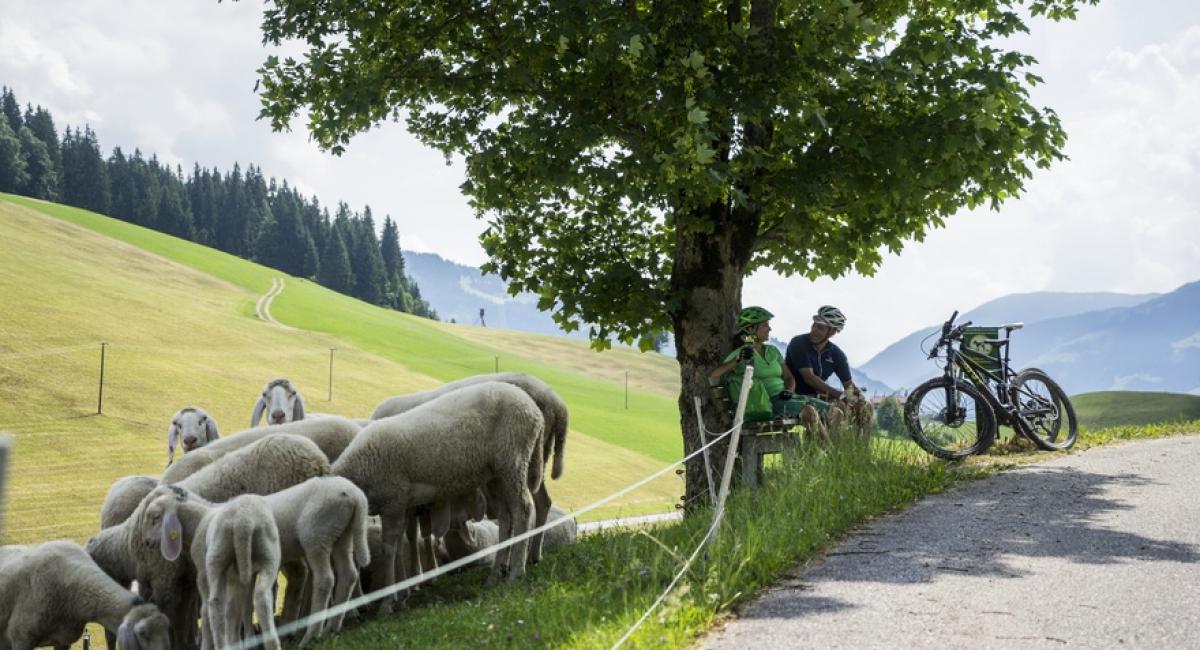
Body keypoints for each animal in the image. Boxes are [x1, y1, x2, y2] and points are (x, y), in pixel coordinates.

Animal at [331, 378, 542, 614]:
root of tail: (532, 407)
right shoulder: (402, 503)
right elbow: (399, 547)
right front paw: (400, 595)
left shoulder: (393, 501)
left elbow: (389, 550)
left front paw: (387, 603)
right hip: (495, 473)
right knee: (506, 517)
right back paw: (495, 575)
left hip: (513, 460)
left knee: (523, 510)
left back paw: (516, 571)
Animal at [367, 371, 568, 566]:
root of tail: (558, 404)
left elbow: (412, 533)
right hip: (536, 462)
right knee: (543, 502)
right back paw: (532, 555)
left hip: (520, 461)